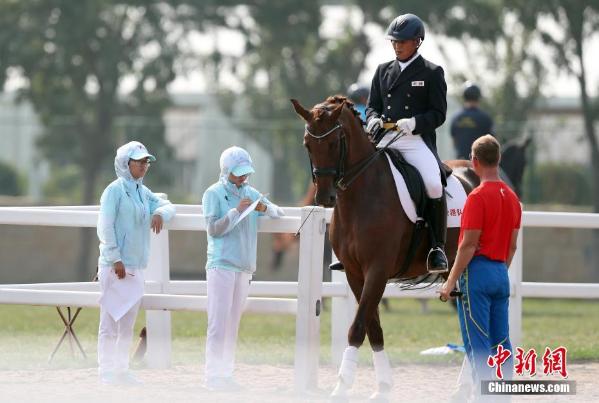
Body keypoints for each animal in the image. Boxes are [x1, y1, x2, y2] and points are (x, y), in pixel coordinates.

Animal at [290, 95, 478, 400]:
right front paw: (383, 387)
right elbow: (372, 327)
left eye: (334, 143)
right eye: (308, 143)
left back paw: (465, 386)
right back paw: (464, 387)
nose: (325, 197)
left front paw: (342, 385)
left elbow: (357, 327)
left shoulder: (377, 270)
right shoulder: (355, 273)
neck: (360, 196)